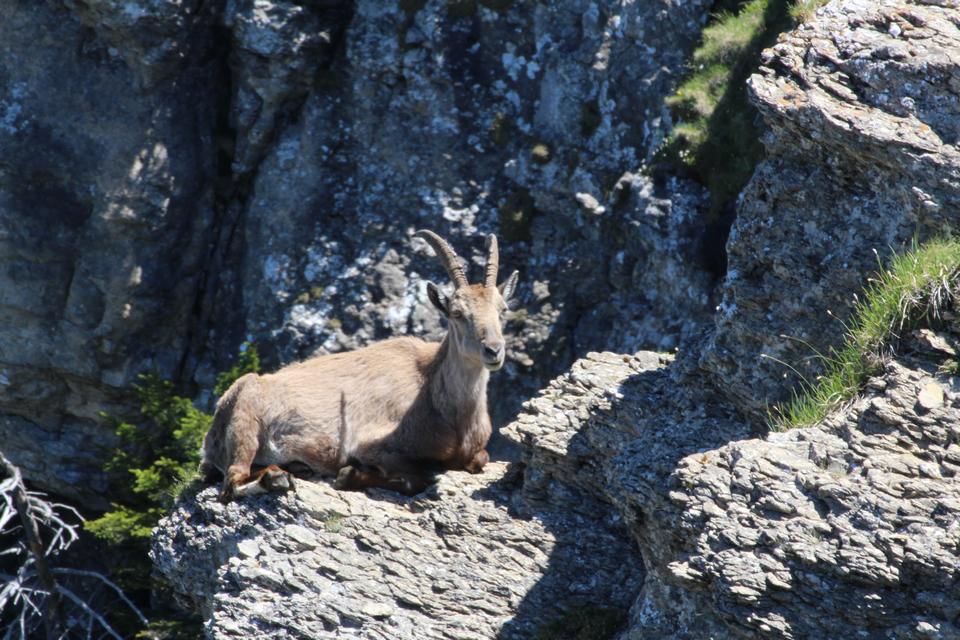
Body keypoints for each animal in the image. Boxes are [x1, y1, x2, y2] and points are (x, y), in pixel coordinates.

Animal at [199, 230, 519, 501]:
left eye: (502, 309)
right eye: (456, 313)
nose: (493, 350)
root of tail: (210, 434)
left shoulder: (473, 452)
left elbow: (478, 460)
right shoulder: (370, 444)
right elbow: (414, 478)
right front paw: (349, 474)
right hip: (245, 422)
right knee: (231, 483)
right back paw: (277, 479)